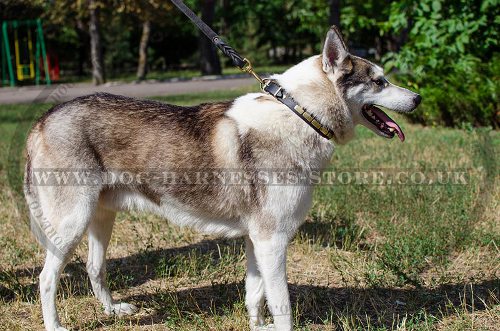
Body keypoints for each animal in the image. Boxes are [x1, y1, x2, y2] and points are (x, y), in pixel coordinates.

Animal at [25, 27, 420, 330]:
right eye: (379, 81)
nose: (417, 98)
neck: (300, 114)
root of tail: (44, 118)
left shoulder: (257, 241)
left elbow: (254, 296)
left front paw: (258, 327)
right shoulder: (273, 241)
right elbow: (283, 307)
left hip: (101, 219)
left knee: (94, 268)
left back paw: (113, 311)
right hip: (71, 226)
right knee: (46, 280)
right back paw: (55, 326)